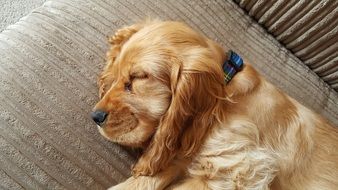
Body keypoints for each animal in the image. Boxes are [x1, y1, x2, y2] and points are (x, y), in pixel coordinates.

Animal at [90, 20, 338, 189]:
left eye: (138, 78)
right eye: (117, 75)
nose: (96, 116)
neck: (226, 91)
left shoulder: (242, 170)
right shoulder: (184, 154)